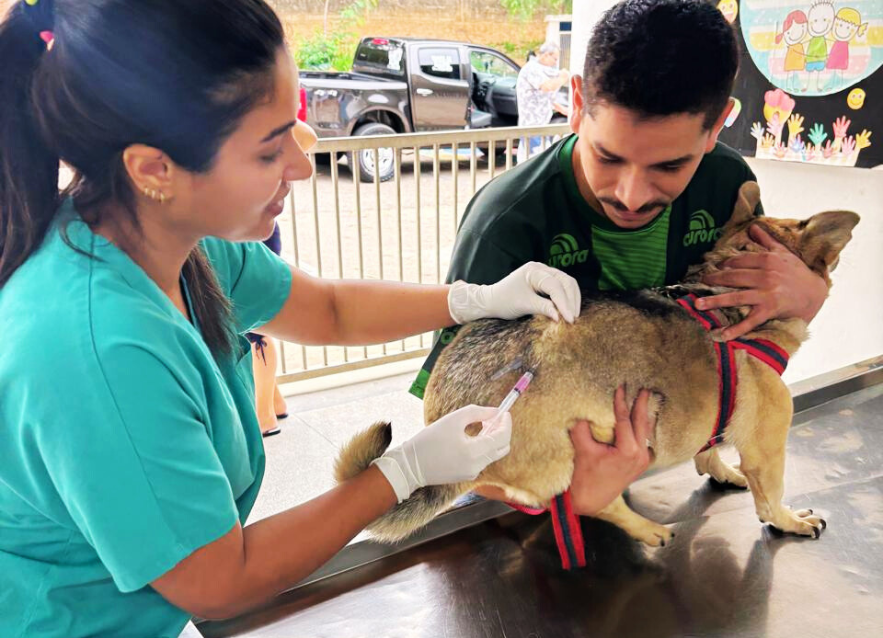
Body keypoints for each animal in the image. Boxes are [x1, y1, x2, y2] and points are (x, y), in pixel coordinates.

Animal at [334, 182, 860, 552]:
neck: (721, 295)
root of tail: (446, 417)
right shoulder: (768, 448)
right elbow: (769, 497)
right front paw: (789, 521)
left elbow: (708, 449)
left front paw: (720, 469)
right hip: (587, 448)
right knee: (595, 504)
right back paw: (647, 529)